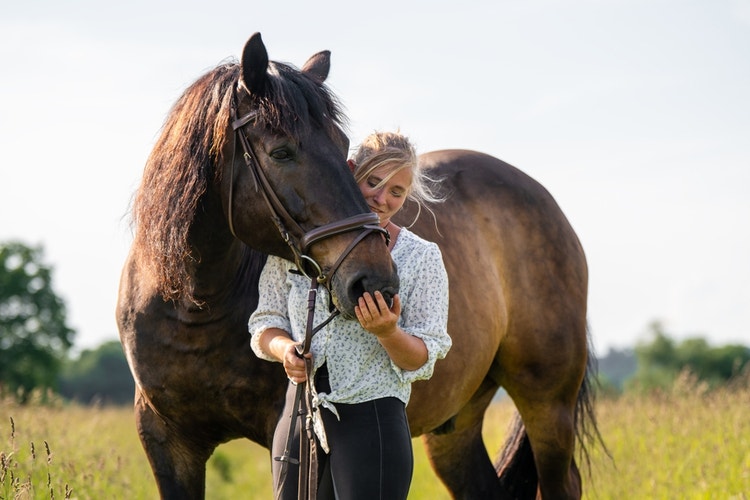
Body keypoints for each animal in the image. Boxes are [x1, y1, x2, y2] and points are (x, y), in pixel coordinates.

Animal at [117, 33, 603, 499]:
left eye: (345, 145)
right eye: (281, 152)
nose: (377, 282)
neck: (196, 303)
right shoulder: (165, 439)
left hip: (548, 404)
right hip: (456, 426)